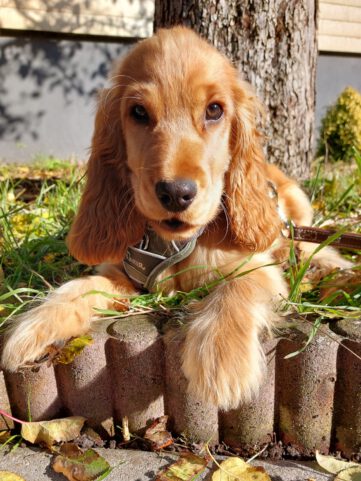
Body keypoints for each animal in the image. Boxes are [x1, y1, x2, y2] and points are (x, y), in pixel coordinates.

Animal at [0, 26, 348, 408]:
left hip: (296, 211)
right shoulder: (121, 272)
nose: (176, 193)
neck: (173, 244)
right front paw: (36, 326)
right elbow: (80, 287)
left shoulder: (258, 268)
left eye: (214, 110)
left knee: (312, 245)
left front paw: (221, 360)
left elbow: (236, 290)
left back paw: (333, 269)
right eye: (138, 112)